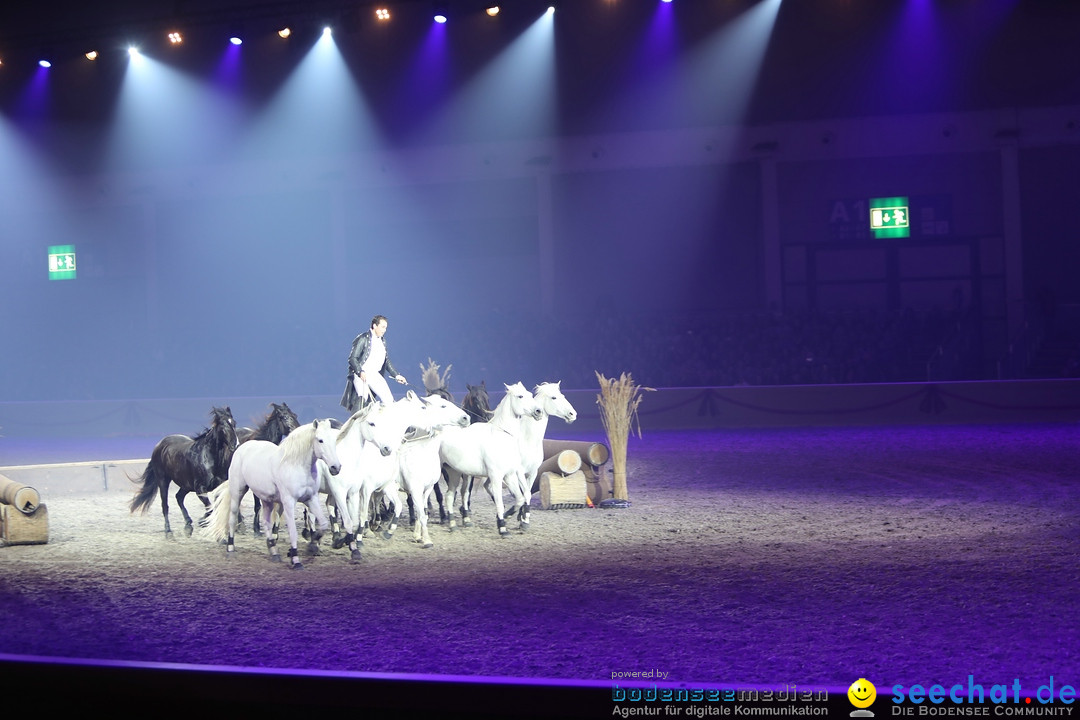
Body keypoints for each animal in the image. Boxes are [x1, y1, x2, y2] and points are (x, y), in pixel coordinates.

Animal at [129, 405, 237, 535]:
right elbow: (210, 508)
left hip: (186, 485)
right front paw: (203, 522)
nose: (235, 444)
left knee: (179, 497)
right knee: (165, 505)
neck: (209, 458)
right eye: (223, 425)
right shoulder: (200, 489)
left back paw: (188, 525)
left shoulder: (219, 486)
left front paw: (202, 522)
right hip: (163, 480)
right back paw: (168, 530)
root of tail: (159, 445)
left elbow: (214, 507)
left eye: (234, 423)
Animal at [203, 423, 336, 569]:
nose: (336, 467)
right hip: (238, 492)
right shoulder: (289, 502)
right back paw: (231, 548)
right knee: (232, 518)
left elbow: (323, 523)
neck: (295, 465)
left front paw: (312, 545)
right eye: (320, 440)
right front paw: (295, 559)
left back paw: (273, 551)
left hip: (266, 499)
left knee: (266, 521)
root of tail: (242, 447)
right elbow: (293, 531)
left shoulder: (311, 499)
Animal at [436, 382, 540, 535]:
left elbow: (520, 499)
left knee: (449, 495)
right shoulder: (496, 476)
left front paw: (508, 515)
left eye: (530, 394)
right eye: (520, 396)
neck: (501, 435)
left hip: (454, 472)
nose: (539, 411)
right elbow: (499, 502)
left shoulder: (509, 475)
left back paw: (453, 524)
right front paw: (502, 527)